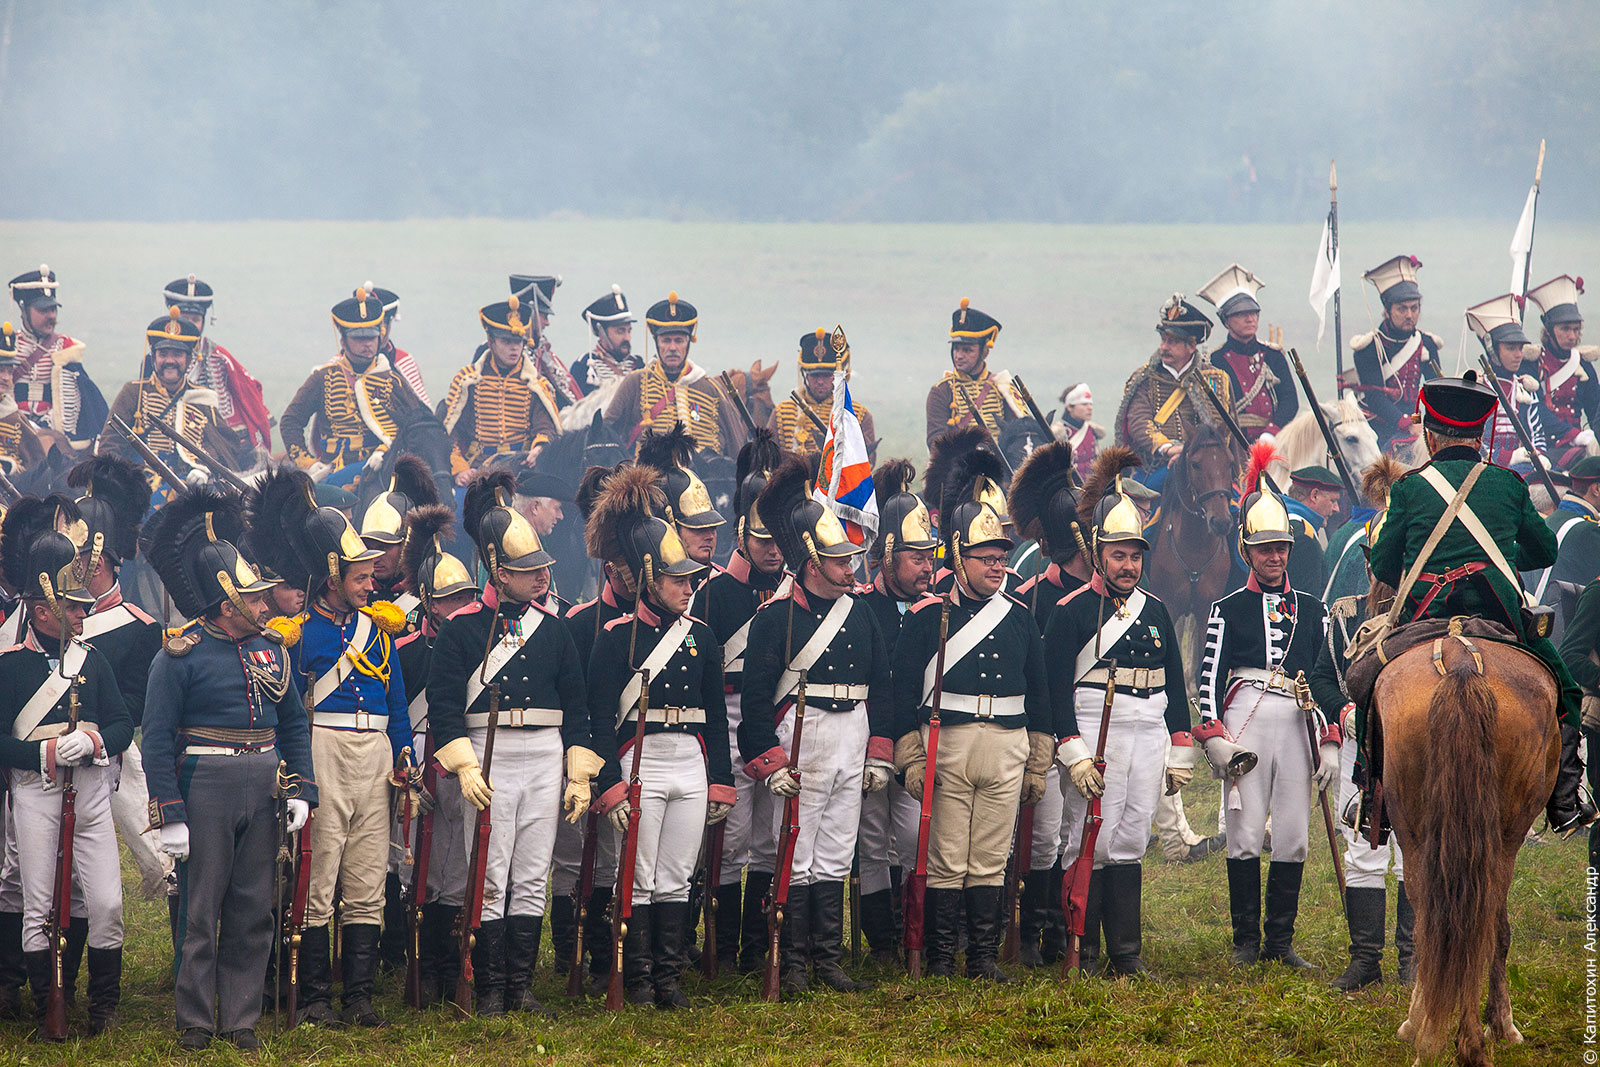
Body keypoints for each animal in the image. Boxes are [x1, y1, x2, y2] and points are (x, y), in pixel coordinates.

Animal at [1145, 422, 1241, 681]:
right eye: (1196, 464)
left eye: (1229, 463)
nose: (1221, 522)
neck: (1194, 548)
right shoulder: (1169, 606)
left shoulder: (1206, 609)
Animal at [1376, 630, 1561, 1062]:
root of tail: (1462, 667)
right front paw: (1500, 1024)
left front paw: (1416, 1022)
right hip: (1502, 841)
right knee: (1483, 925)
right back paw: (1474, 1039)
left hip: (1422, 837)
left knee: (1437, 926)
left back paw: (1436, 1038)